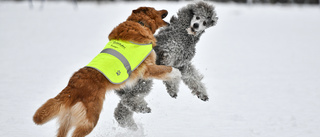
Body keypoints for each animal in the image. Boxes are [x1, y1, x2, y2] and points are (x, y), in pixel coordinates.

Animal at [34, 6, 180, 136]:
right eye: (156, 9)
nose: (166, 10)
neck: (140, 23)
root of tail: (72, 86)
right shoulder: (148, 68)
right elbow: (172, 71)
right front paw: (176, 78)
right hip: (90, 120)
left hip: (67, 120)